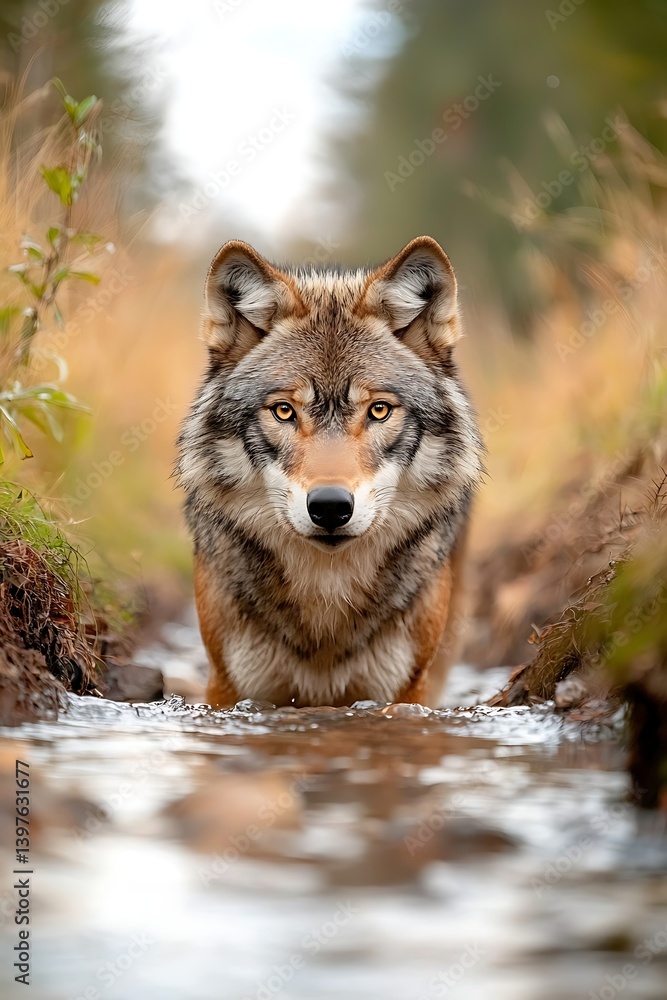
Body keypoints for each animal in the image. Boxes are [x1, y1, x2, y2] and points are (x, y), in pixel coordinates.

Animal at [177, 236, 483, 708]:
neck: (326, 598)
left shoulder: (404, 691)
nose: (330, 507)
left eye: (379, 410)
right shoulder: (230, 687)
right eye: (285, 411)